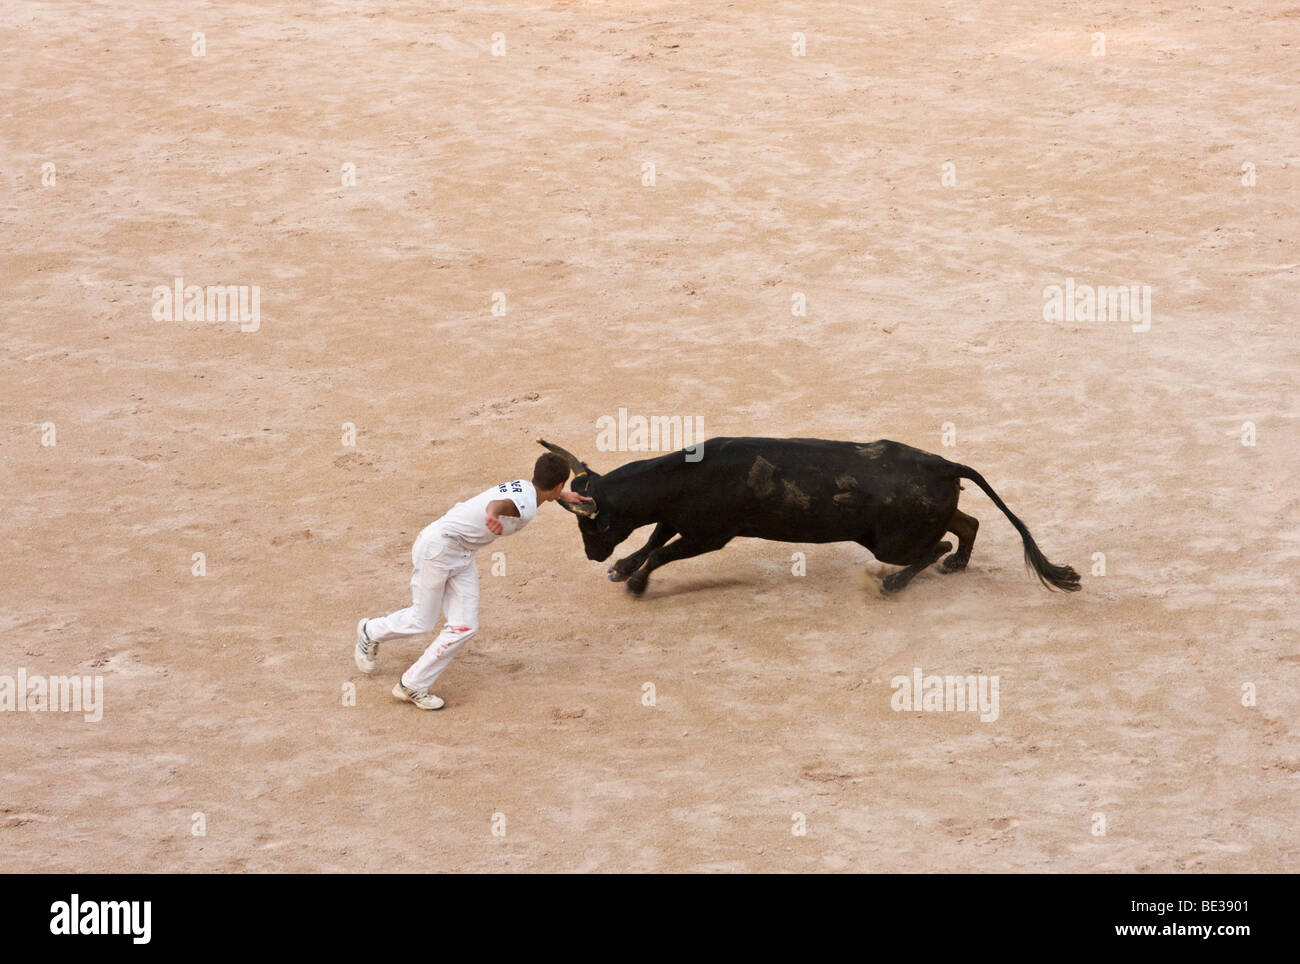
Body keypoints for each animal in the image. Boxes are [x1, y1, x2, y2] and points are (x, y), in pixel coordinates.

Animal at [533, 439, 1081, 597]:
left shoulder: (710, 534)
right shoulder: (681, 520)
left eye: (593, 524)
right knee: (966, 525)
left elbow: (663, 551)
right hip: (919, 522)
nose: (592, 554)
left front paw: (636, 583)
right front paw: (623, 570)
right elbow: (653, 541)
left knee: (940, 542)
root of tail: (944, 464)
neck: (684, 475)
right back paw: (956, 566)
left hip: (891, 542)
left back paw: (893, 584)